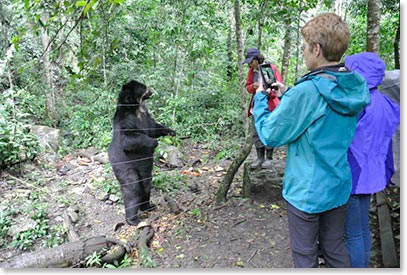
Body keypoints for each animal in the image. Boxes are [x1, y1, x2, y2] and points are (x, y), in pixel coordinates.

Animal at [107, 80, 176, 226]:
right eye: (144, 88)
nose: (152, 90)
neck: (137, 108)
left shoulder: (146, 116)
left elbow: (154, 127)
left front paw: (171, 131)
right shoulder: (125, 120)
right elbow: (129, 138)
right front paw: (154, 142)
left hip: (144, 168)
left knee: (146, 183)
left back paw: (148, 206)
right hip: (124, 166)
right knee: (132, 188)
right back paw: (133, 219)